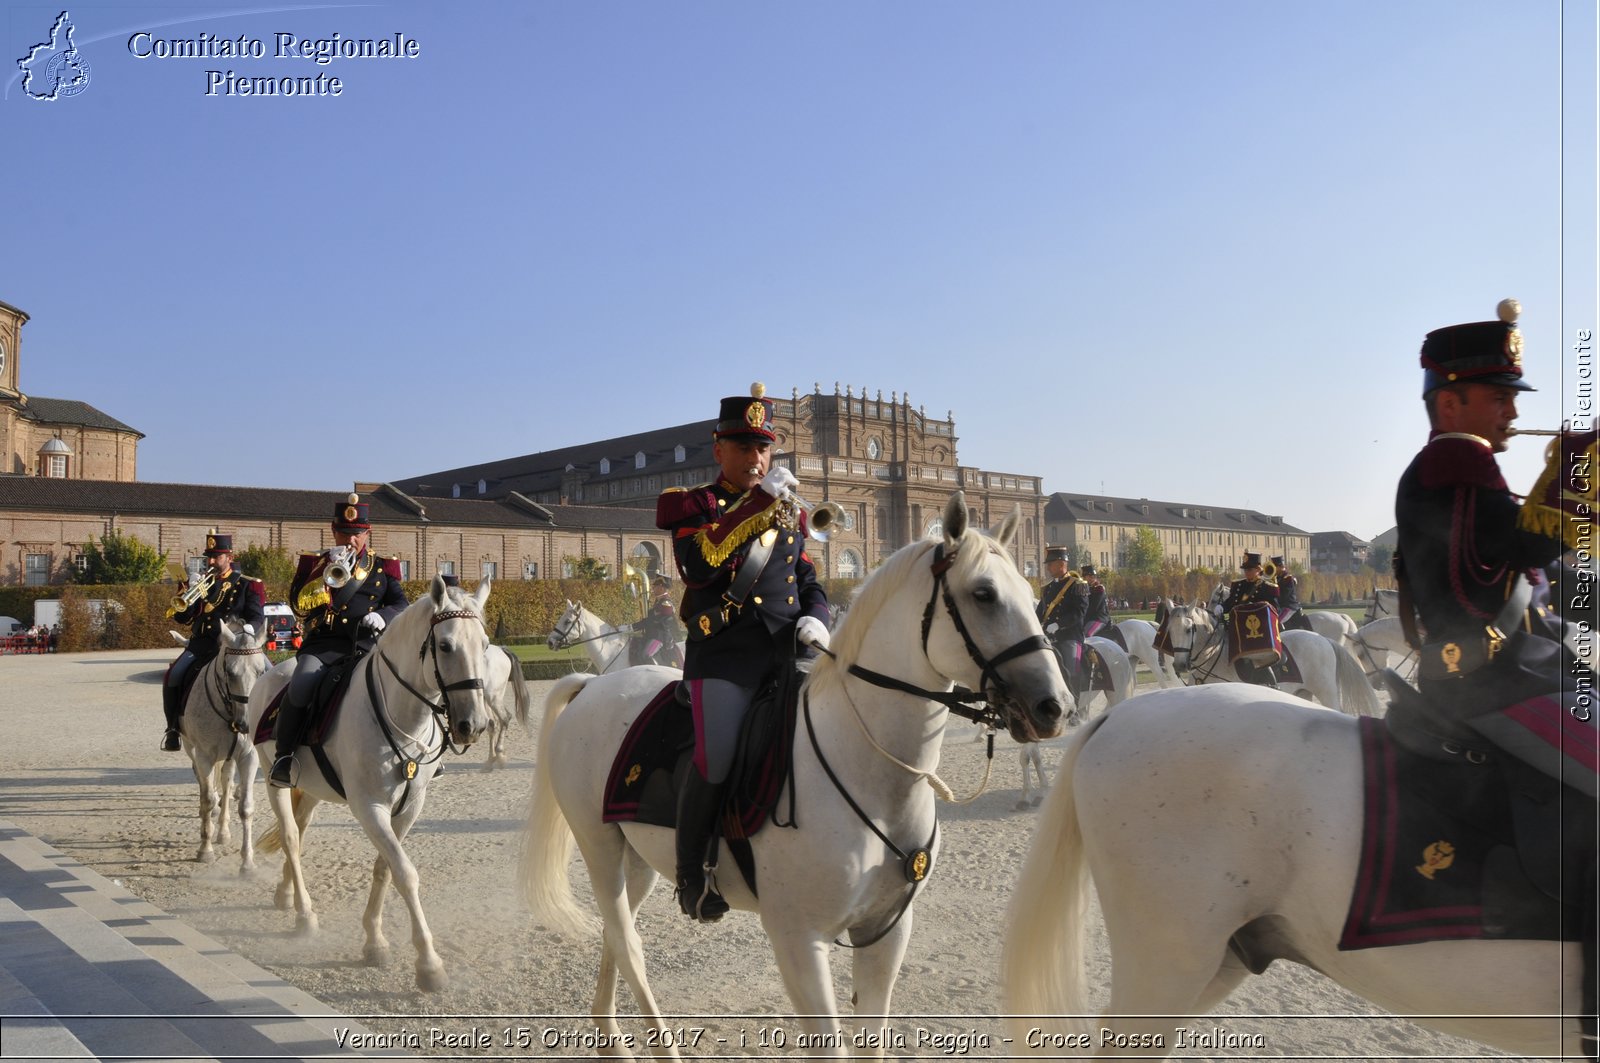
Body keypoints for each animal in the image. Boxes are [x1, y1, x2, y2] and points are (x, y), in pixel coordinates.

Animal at [182, 617, 272, 870]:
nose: (246, 724)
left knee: (226, 782)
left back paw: (223, 831)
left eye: (261, 671)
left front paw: (247, 862)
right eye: (230, 672)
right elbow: (207, 799)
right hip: (191, 749)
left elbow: (245, 807)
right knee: (206, 785)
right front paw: (205, 850)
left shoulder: (248, 756)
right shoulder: (203, 755)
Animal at [243, 576, 489, 992]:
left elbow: (385, 869)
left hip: (312, 788)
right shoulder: (369, 808)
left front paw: (374, 941)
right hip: (273, 778)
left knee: (299, 830)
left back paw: (286, 891)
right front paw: (428, 963)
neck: (402, 716)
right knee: (290, 836)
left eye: (485, 645)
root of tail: (273, 673)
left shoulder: (409, 807)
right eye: (445, 645)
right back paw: (304, 915)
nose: (472, 724)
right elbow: (405, 873)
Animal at [518, 493, 1068, 1056]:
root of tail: (593, 687)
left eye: (1029, 593)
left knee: (616, 932)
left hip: (640, 857)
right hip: (598, 846)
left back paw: (609, 1035)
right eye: (984, 593)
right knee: (628, 944)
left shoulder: (886, 932)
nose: (1056, 706)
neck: (871, 772)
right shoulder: (799, 942)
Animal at [1164, 605, 1376, 714]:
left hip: (1326, 692)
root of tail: (1323, 639)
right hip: (1302, 692)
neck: (1214, 657)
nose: (1179, 665)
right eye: (1169, 631)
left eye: (1189, 629)